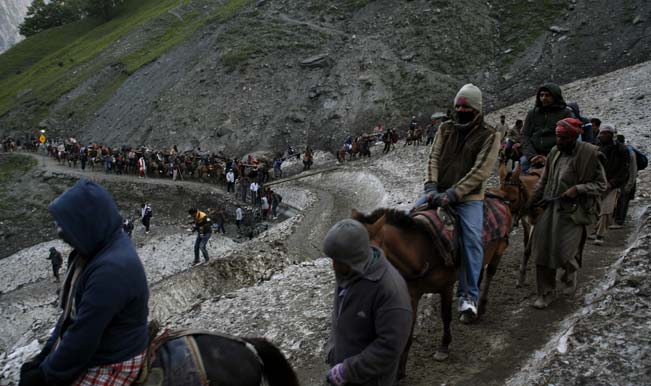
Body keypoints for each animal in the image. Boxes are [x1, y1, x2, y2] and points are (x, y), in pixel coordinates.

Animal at [354, 204, 512, 378]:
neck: (421, 252)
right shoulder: (412, 294)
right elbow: (410, 325)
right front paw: (400, 371)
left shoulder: (446, 287)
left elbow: (446, 316)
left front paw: (443, 347)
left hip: (499, 249)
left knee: (490, 273)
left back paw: (481, 306)